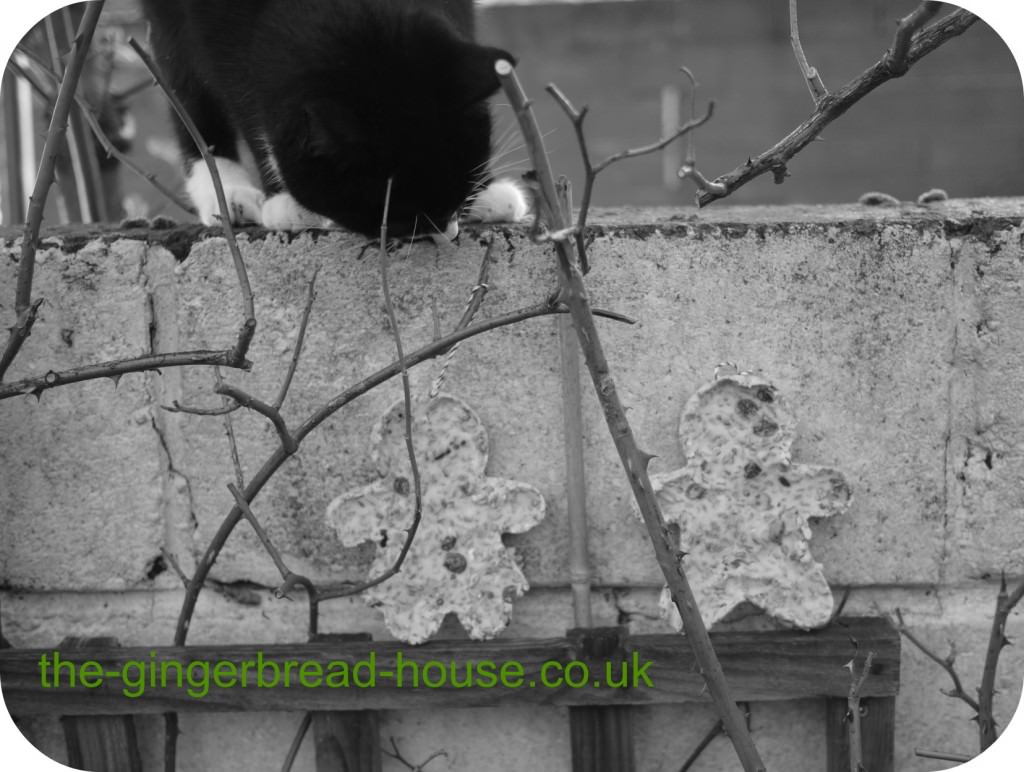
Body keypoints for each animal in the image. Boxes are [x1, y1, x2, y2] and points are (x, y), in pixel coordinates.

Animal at [140, 0, 528, 234]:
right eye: (404, 215)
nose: (446, 228)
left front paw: (485, 191)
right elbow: (232, 84)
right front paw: (285, 201)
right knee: (181, 77)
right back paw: (225, 190)